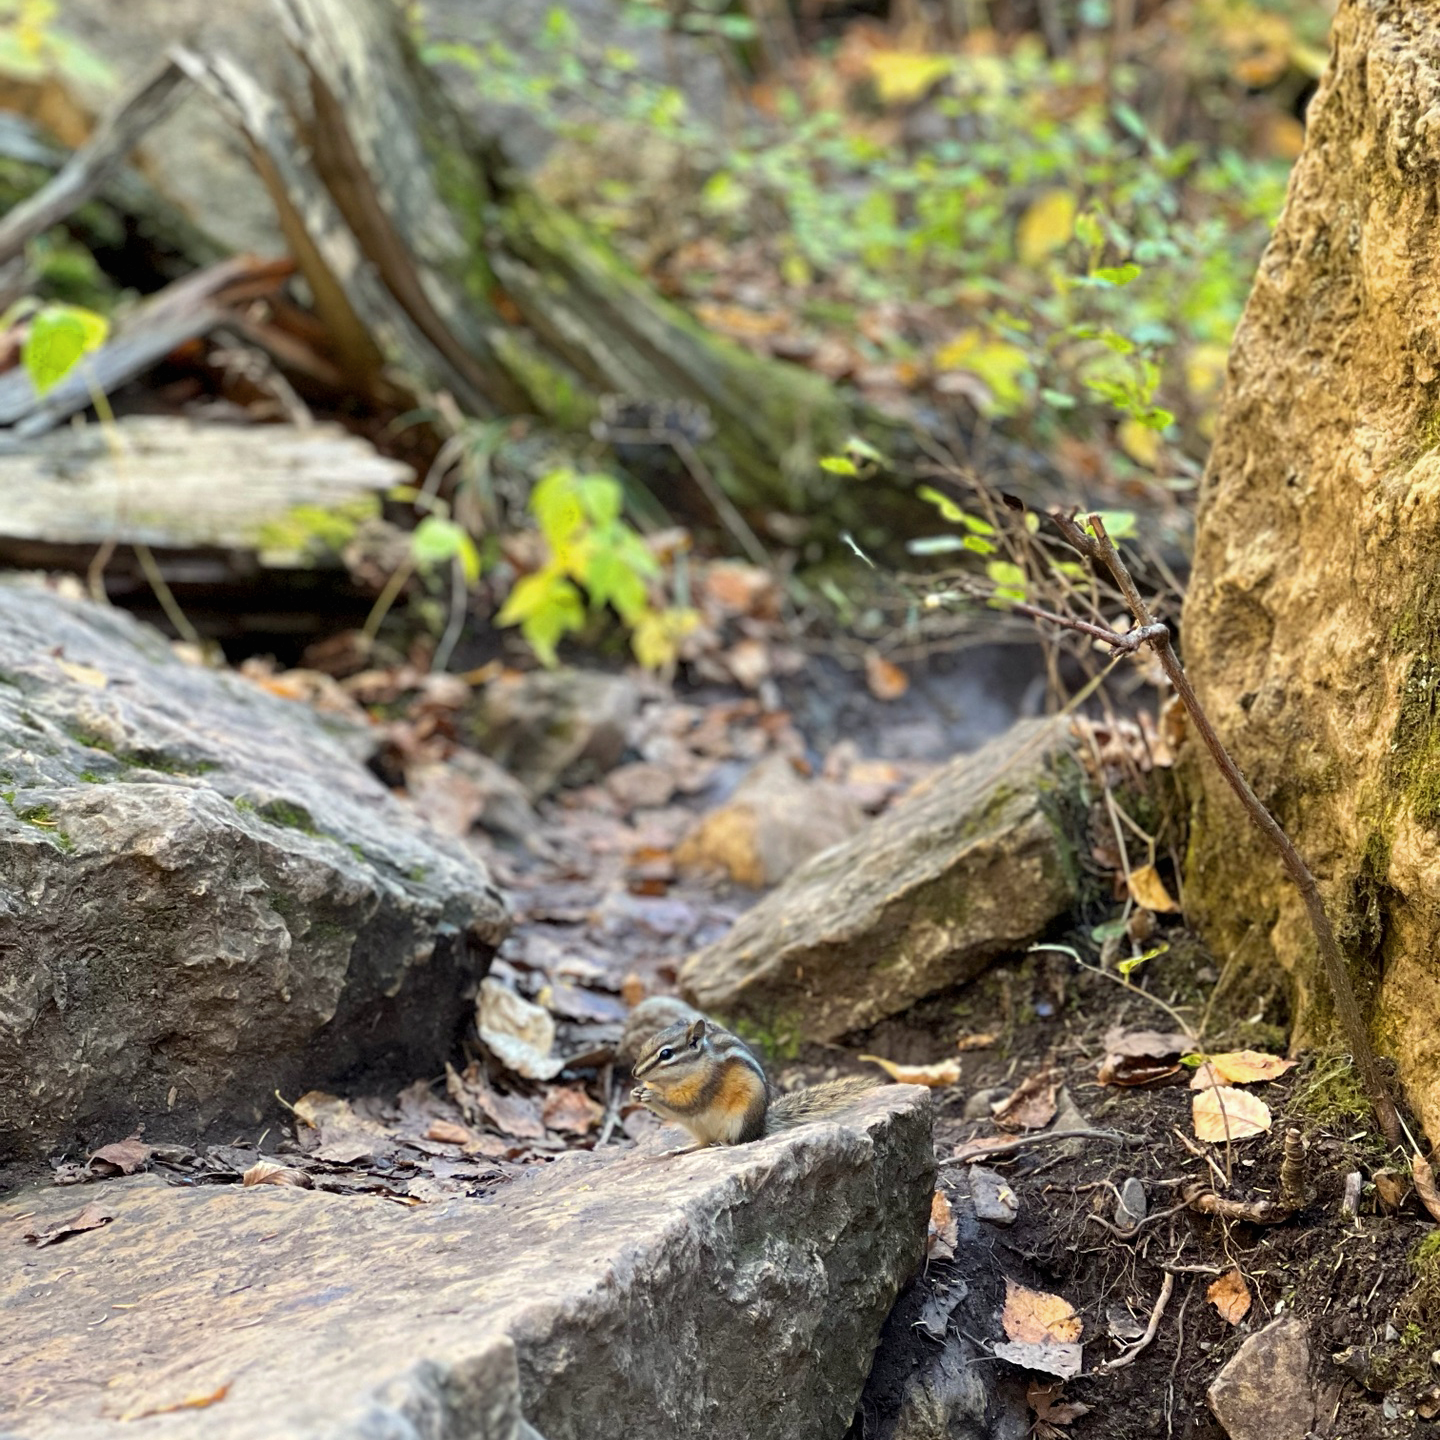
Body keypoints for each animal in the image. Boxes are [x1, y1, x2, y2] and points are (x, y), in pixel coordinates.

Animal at [629, 1014, 880, 1154]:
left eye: (666, 1054)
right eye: (644, 1045)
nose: (634, 1072)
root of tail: (760, 1126)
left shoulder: (708, 1084)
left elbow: (687, 1105)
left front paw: (653, 1096)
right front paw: (637, 1093)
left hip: (739, 1119)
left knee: (737, 1142)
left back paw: (724, 1145)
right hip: (697, 1128)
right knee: (703, 1143)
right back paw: (683, 1148)